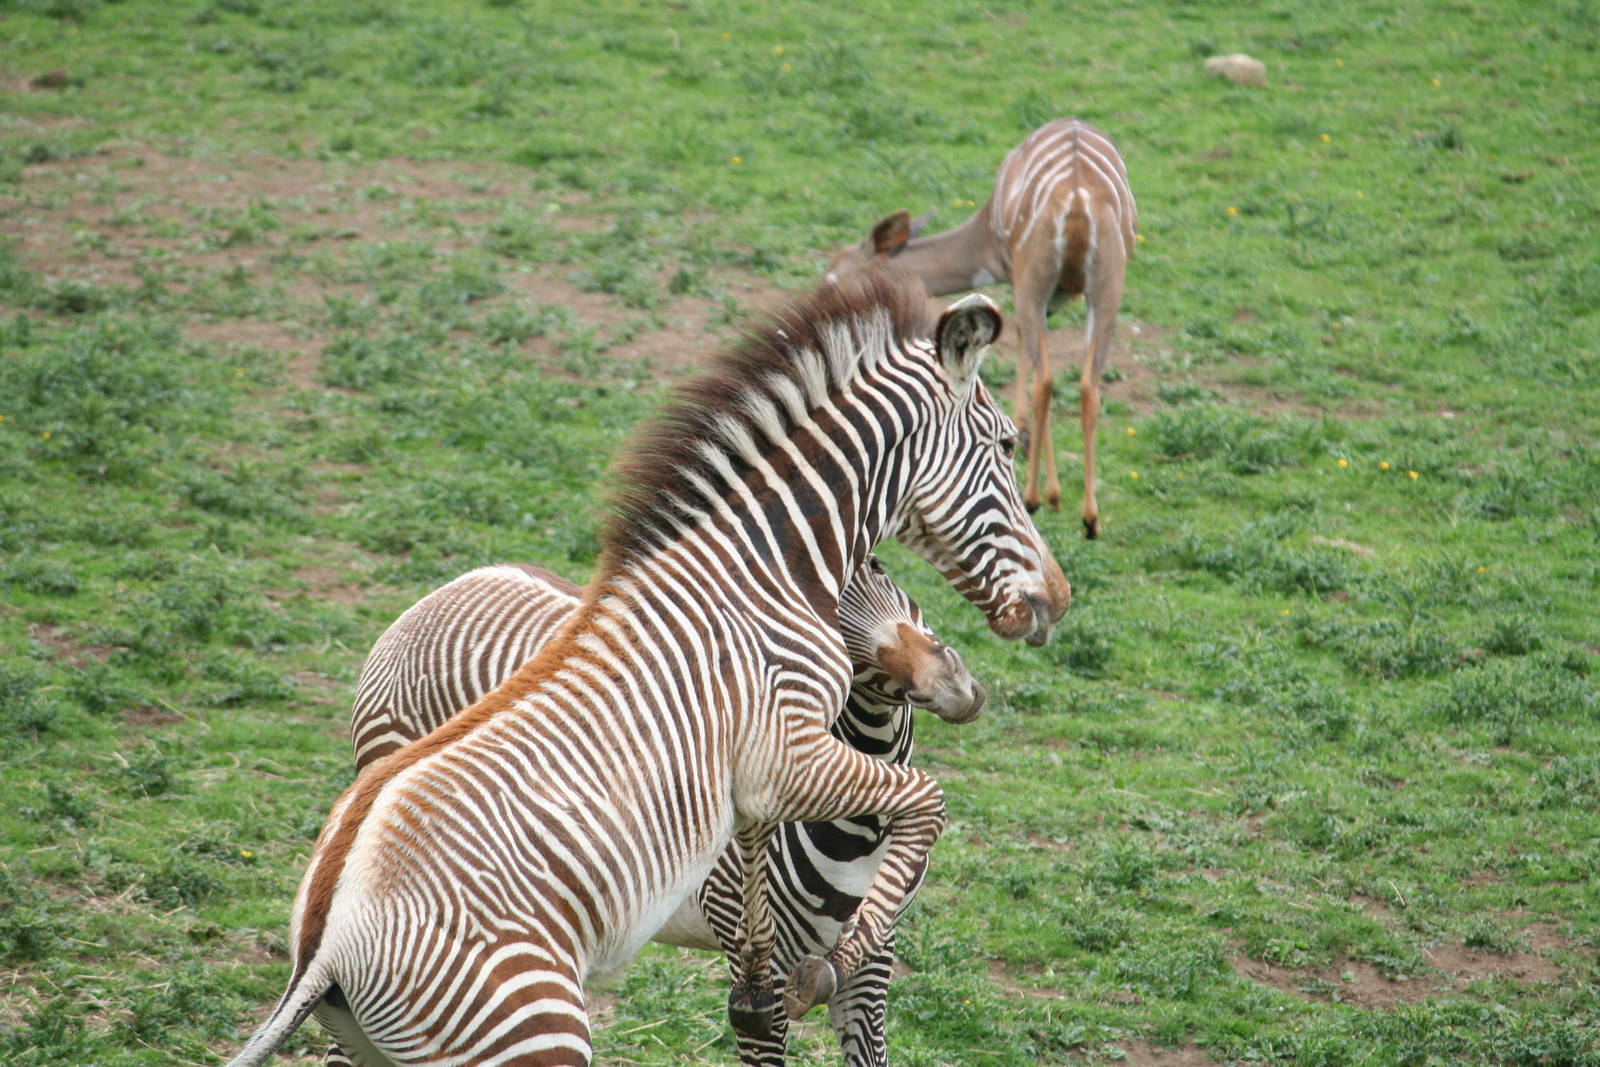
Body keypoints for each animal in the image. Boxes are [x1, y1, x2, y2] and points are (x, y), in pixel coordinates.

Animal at [340, 554, 980, 1066]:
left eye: (880, 569)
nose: (950, 684)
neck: (856, 835)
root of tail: (463, 581)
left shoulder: (872, 959)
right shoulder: (758, 974)